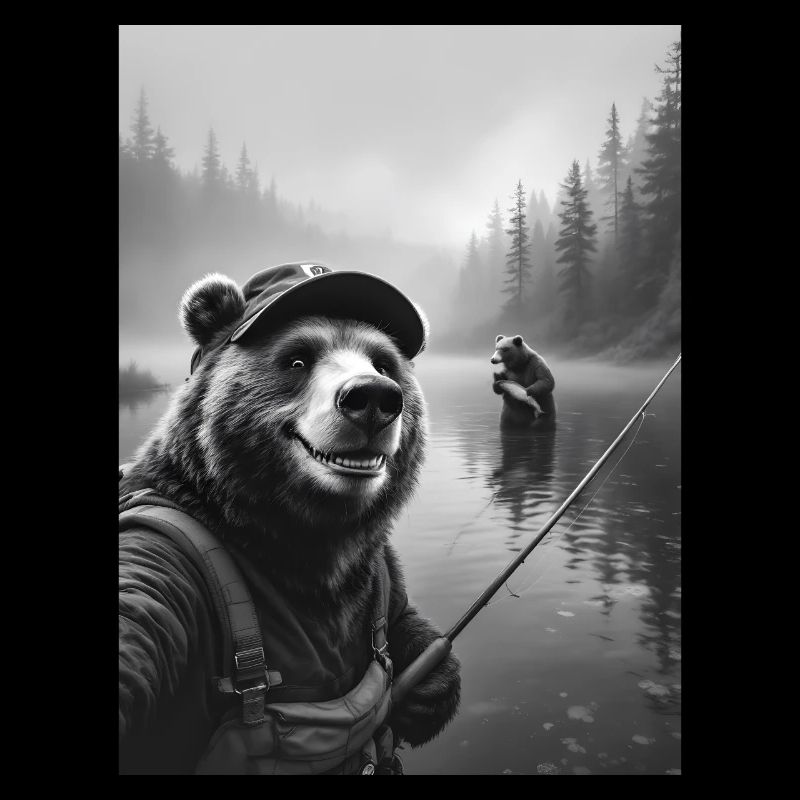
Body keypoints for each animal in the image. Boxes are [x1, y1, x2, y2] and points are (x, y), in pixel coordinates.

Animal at [119, 266, 460, 774]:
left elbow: (399, 613)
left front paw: (431, 685)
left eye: (383, 363)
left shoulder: (373, 563)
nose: (373, 396)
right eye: (297, 359)